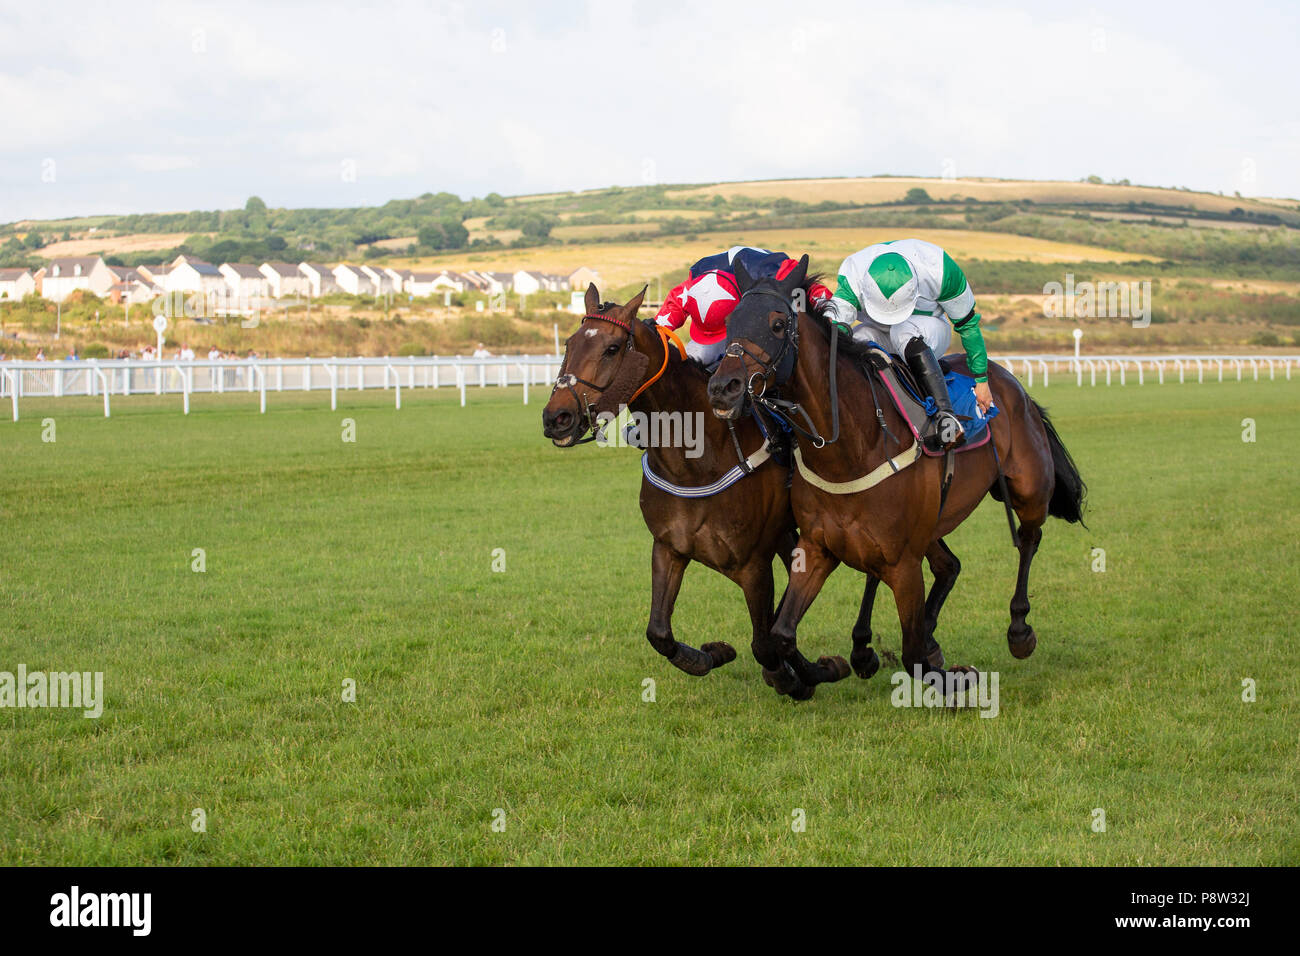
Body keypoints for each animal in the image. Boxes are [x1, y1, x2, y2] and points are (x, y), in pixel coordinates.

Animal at [543, 283, 857, 697]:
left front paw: (799, 675)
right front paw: (711, 654)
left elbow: (764, 641)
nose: (556, 417)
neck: (695, 461)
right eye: (569, 344)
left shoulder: (752, 564)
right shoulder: (669, 547)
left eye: (612, 348)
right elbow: (659, 632)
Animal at [707, 257, 1081, 697]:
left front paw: (954, 674)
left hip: (1029, 490)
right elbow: (781, 634)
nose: (723, 388)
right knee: (948, 566)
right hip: (931, 521)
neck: (851, 447)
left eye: (778, 323)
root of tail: (1006, 380)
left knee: (1028, 539)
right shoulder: (817, 547)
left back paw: (1019, 630)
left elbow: (914, 655)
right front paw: (814, 672)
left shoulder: (903, 561)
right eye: (730, 322)